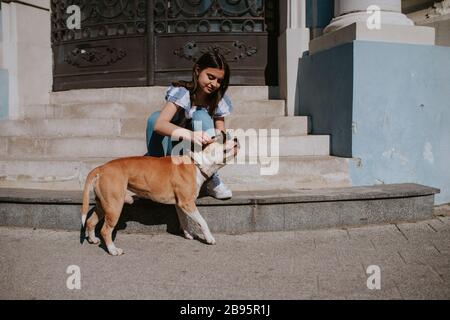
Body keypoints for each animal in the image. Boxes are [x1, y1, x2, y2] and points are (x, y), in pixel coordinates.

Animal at [80, 132, 239, 255]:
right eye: (222, 138)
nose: (236, 139)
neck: (197, 163)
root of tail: (101, 168)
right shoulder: (187, 203)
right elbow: (202, 221)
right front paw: (209, 238)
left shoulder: (180, 205)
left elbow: (184, 220)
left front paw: (188, 234)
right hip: (114, 206)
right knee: (105, 230)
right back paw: (113, 250)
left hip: (104, 204)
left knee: (90, 221)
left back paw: (92, 239)